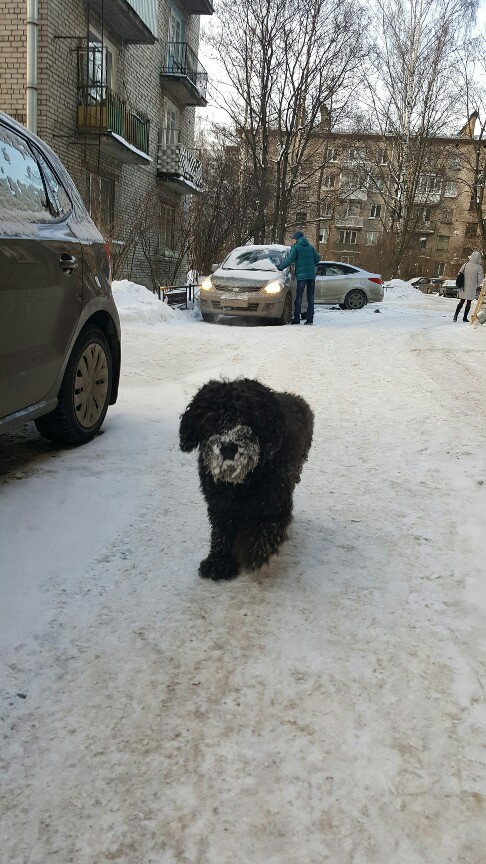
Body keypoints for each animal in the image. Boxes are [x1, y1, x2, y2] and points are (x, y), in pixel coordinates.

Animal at [179, 378, 313, 580]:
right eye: (211, 419)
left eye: (250, 418)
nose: (228, 447)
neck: (241, 483)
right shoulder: (219, 503)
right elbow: (221, 531)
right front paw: (218, 561)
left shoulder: (274, 500)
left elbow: (264, 528)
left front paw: (253, 552)